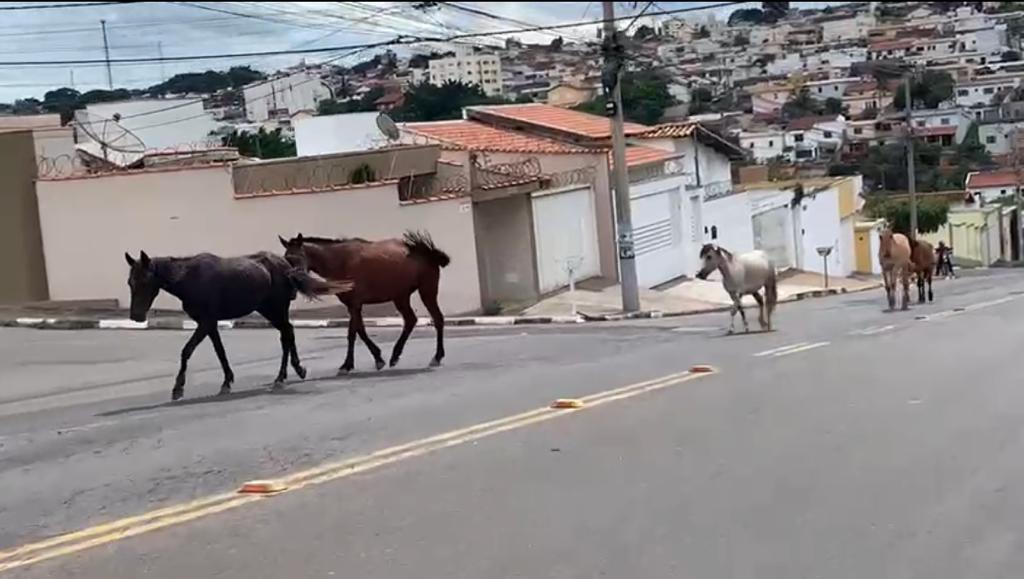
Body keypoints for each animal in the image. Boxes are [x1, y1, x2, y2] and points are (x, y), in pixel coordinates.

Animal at [124, 251, 352, 399]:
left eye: (145, 281)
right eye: (130, 282)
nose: (136, 316)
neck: (189, 278)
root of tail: (285, 264)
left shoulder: (206, 322)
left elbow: (187, 350)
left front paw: (178, 388)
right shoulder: (209, 323)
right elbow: (220, 351)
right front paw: (227, 381)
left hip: (276, 309)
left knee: (287, 334)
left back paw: (284, 376)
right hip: (269, 310)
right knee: (287, 333)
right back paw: (292, 372)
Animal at [284, 231, 452, 375]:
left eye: (298, 257)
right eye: (286, 258)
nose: (293, 281)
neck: (340, 260)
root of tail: (428, 252)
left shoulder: (355, 304)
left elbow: (357, 333)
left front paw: (366, 361)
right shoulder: (352, 306)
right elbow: (357, 332)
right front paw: (354, 363)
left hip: (427, 291)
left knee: (437, 319)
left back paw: (437, 357)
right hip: (400, 297)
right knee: (411, 320)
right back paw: (395, 356)